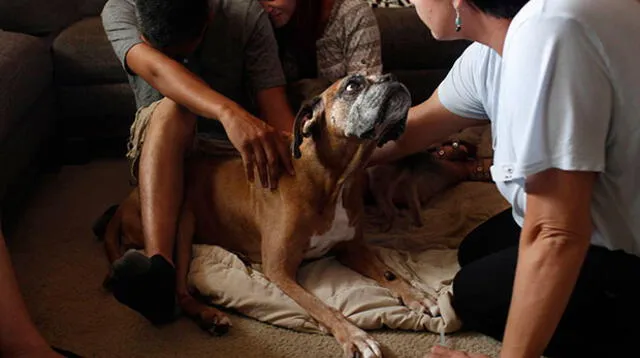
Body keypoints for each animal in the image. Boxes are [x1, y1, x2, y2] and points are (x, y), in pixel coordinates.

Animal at [102, 73, 440, 358]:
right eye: (352, 85)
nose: (392, 77)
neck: (332, 180)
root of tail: (125, 202)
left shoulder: (352, 248)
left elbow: (389, 273)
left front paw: (416, 295)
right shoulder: (280, 270)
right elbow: (322, 306)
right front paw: (355, 336)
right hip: (183, 223)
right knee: (180, 289)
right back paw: (208, 315)